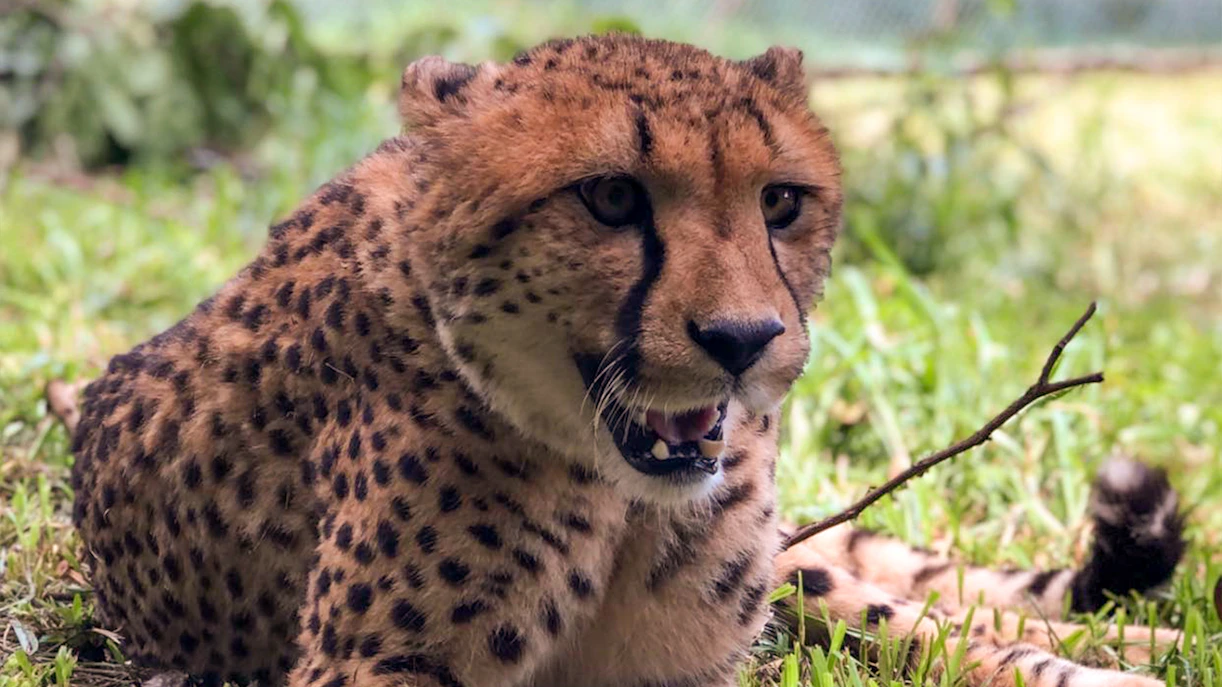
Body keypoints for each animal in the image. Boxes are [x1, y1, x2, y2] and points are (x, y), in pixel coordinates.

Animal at [67, 34, 1187, 687]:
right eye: (609, 197)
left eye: (780, 200)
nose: (743, 341)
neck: (616, 496)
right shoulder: (369, 663)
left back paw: (1142, 653)